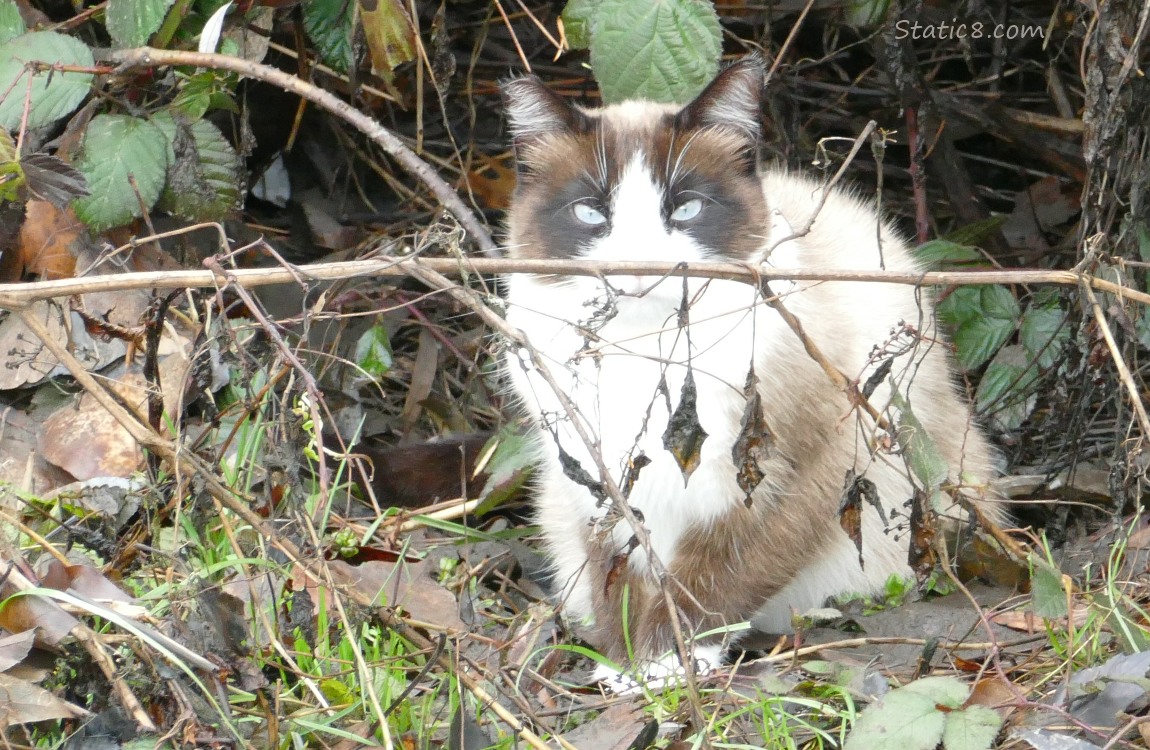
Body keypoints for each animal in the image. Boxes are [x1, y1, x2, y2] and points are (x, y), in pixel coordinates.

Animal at [499, 55, 1002, 680]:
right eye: (590, 213)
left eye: (686, 208)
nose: (639, 268)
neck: (645, 354)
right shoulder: (595, 475)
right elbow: (615, 580)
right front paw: (625, 666)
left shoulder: (789, 472)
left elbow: (712, 578)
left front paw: (666, 667)